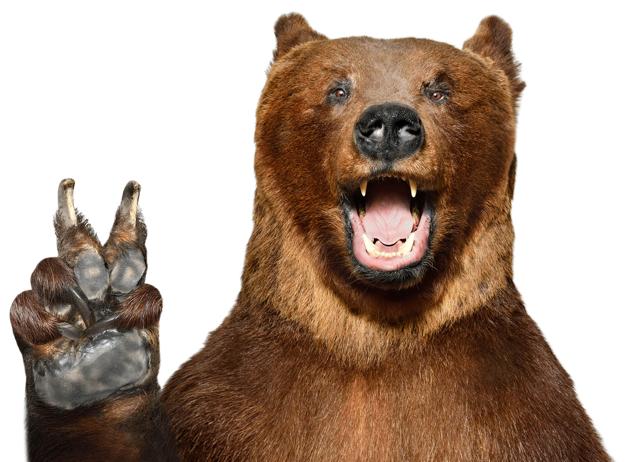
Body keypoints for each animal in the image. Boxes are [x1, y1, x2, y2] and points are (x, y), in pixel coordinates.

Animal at [10, 13, 610, 462]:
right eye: (336, 88)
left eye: (441, 88)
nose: (388, 125)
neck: (372, 335)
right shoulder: (221, 413)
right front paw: (94, 327)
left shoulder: (525, 421)